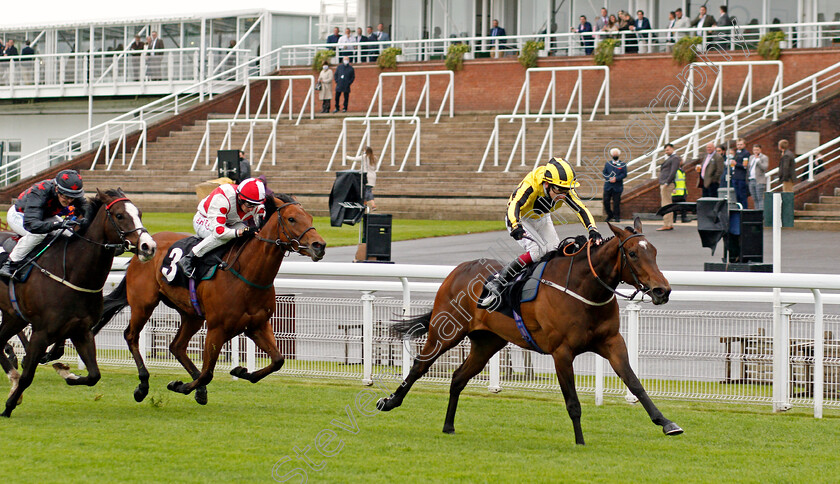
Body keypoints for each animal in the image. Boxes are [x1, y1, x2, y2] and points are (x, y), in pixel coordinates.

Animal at [0, 189, 156, 416]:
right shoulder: (42, 332)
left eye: (140, 214)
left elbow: (94, 376)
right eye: (119, 215)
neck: (72, 272)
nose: (149, 246)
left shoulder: (81, 330)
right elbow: (28, 375)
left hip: (14, 317)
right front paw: (9, 406)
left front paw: (67, 373)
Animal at [94, 194, 324, 404]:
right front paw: (180, 386)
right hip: (144, 304)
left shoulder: (257, 325)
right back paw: (143, 385)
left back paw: (198, 389)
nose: (319, 245)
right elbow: (208, 373)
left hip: (192, 314)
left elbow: (278, 360)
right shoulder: (217, 328)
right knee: (131, 336)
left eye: (310, 217)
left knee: (176, 346)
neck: (248, 275)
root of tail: (143, 249)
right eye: (292, 219)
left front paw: (242, 372)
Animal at [378, 219, 684, 446]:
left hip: (487, 342)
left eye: (654, 252)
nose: (662, 290)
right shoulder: (562, 352)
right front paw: (580, 441)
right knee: (420, 365)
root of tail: (458, 270)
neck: (583, 288)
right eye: (632, 254)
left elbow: (635, 383)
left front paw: (667, 423)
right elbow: (572, 401)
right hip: (446, 331)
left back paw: (448, 426)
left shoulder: (611, 342)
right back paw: (390, 401)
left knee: (458, 378)